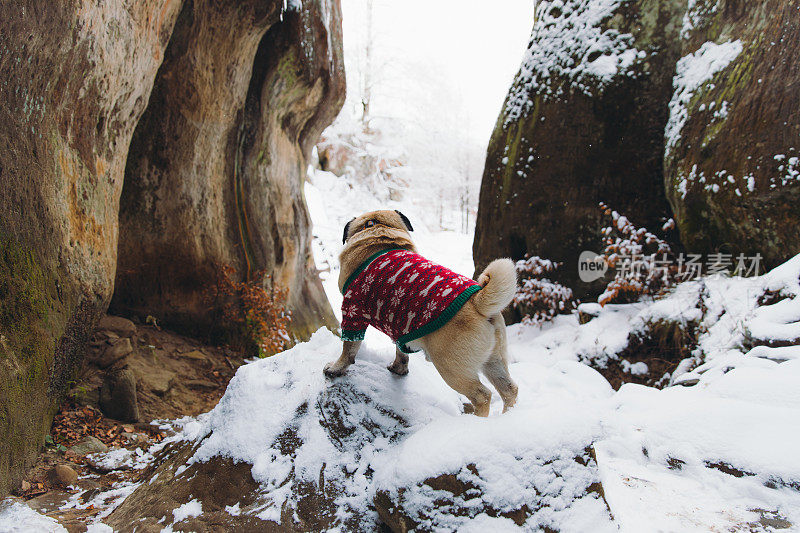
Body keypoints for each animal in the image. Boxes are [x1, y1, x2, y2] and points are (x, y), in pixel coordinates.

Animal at [324, 209, 520, 416]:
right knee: (509, 389)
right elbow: (401, 352)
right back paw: (508, 414)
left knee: (482, 395)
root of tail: (478, 301)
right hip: (494, 360)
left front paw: (336, 369)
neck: (378, 228)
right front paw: (399, 369)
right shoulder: (399, 324)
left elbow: (349, 349)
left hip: (450, 367)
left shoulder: (353, 310)